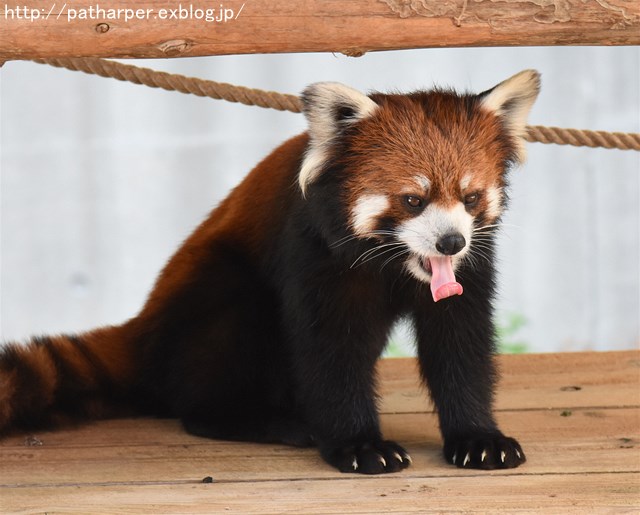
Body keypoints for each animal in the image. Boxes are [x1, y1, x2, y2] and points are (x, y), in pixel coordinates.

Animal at [0, 69, 540, 476]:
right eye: (413, 200)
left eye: (471, 198)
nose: (451, 242)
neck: (394, 264)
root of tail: (144, 330)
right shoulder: (311, 252)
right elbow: (330, 351)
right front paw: (359, 445)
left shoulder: (471, 268)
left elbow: (460, 345)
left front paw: (477, 437)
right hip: (217, 291)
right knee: (223, 351)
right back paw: (269, 421)